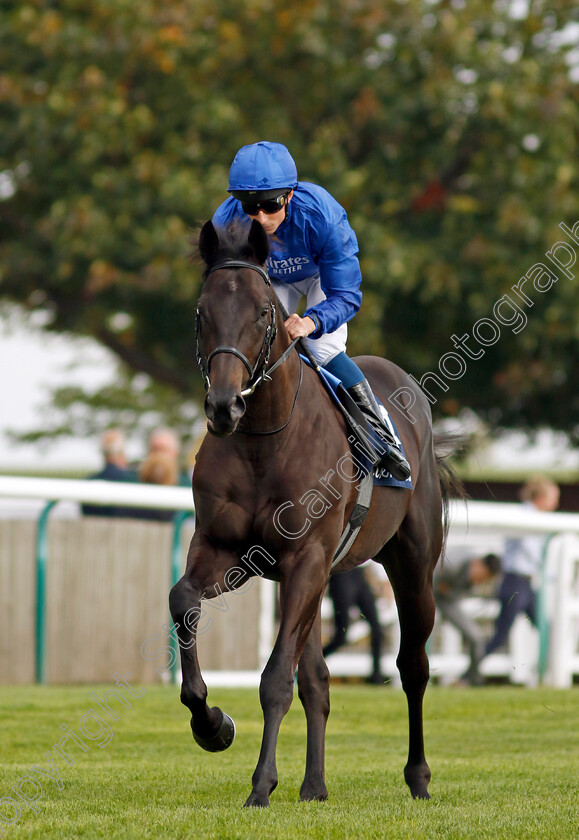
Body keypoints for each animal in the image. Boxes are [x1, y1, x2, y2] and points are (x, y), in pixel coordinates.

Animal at [169, 217, 462, 808]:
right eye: (202, 312)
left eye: (263, 312)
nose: (224, 406)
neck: (263, 439)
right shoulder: (226, 549)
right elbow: (183, 602)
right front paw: (212, 725)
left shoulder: (306, 556)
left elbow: (275, 679)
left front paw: (260, 786)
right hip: (311, 579)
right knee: (319, 678)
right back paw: (314, 785)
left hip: (410, 567)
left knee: (413, 667)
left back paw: (417, 777)